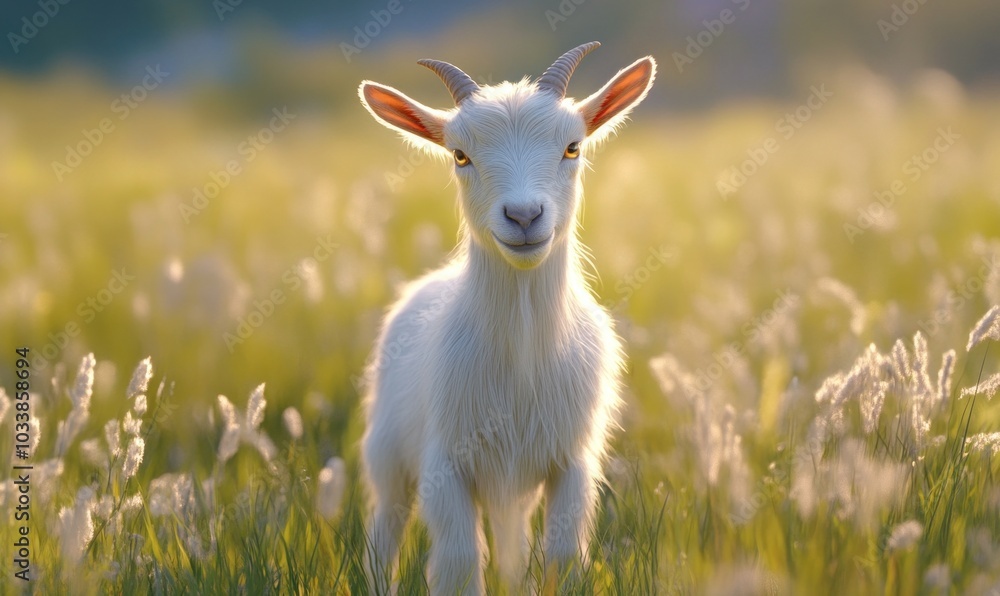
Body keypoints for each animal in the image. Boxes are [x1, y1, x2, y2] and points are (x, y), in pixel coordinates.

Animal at [358, 42, 656, 594]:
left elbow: (563, 556)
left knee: (514, 546)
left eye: (572, 147)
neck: (520, 355)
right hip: (388, 456)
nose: (523, 217)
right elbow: (458, 562)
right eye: (460, 155)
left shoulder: (571, 462)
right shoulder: (444, 463)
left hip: (514, 487)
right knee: (384, 532)